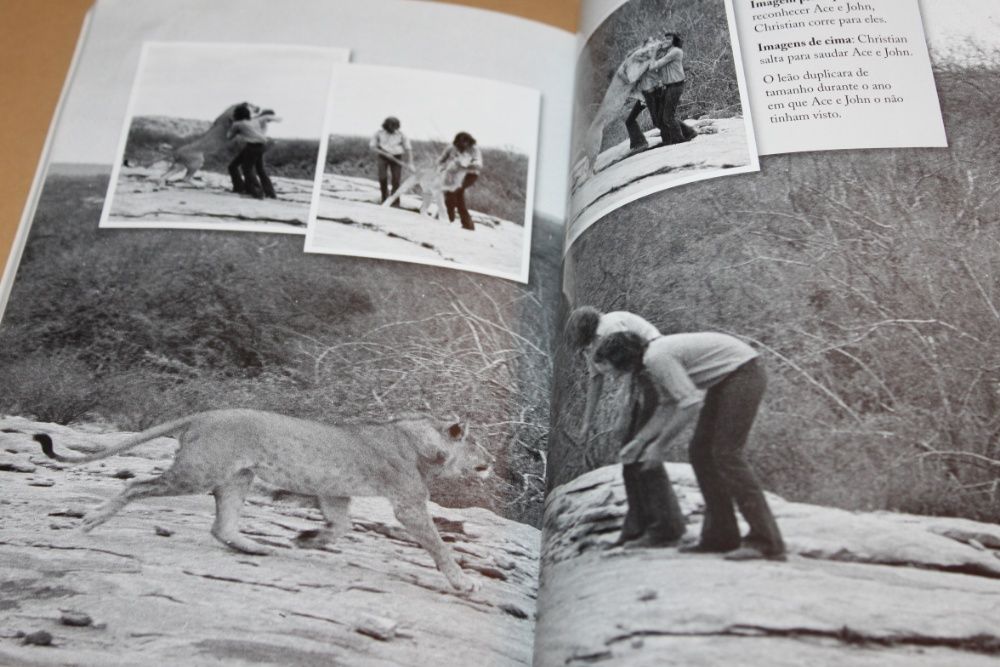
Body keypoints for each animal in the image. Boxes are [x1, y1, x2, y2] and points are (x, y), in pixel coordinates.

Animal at [34, 409, 492, 592]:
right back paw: (91, 520)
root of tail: (203, 414)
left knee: (221, 525)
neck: (425, 445)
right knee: (135, 487)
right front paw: (463, 581)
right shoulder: (407, 503)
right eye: (476, 446)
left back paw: (257, 547)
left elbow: (341, 526)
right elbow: (438, 545)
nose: (490, 463)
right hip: (199, 472)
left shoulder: (334, 491)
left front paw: (306, 539)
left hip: (238, 478)